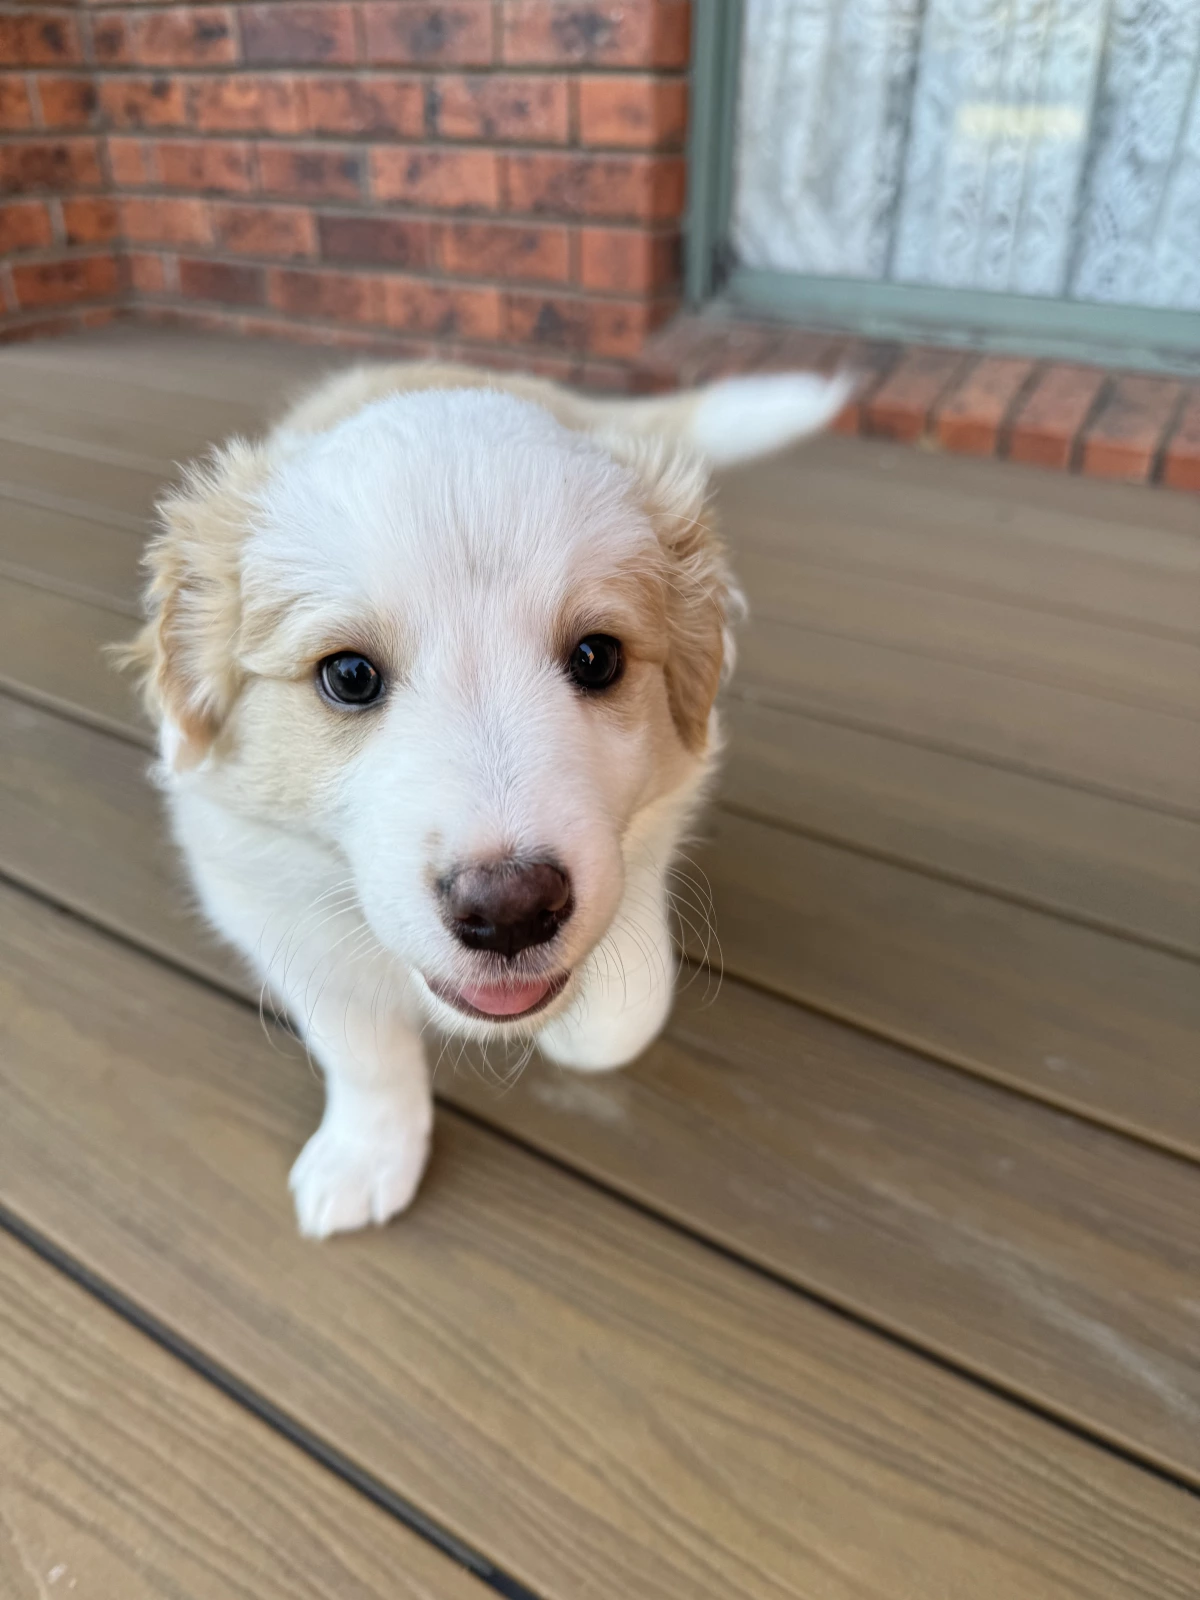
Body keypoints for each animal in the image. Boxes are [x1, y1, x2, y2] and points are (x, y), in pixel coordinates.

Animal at [127, 360, 848, 1237]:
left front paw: (590, 1010)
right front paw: (367, 1154)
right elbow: (362, 1051)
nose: (510, 912)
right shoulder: (275, 912)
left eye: (597, 658)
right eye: (349, 675)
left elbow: (619, 1019)